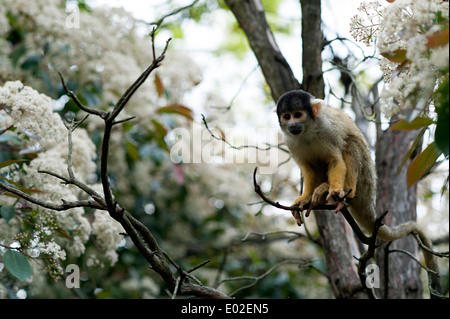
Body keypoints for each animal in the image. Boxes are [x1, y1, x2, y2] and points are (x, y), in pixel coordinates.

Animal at [276, 89, 442, 296]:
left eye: (298, 114)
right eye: (287, 116)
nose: (292, 124)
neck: (306, 132)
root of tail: (370, 197)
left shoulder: (326, 130)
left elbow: (336, 159)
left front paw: (334, 189)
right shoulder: (291, 141)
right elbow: (308, 169)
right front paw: (304, 199)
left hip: (366, 179)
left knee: (351, 143)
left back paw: (341, 192)